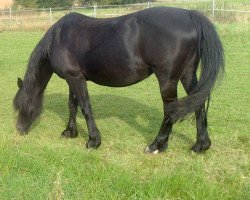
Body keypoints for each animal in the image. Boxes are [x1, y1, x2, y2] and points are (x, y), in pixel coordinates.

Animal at [13, 6, 225, 153]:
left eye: (23, 103)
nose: (19, 130)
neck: (59, 38)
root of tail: (189, 15)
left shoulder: (75, 78)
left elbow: (85, 107)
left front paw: (93, 141)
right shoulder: (72, 78)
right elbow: (72, 105)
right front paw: (70, 132)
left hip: (167, 79)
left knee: (170, 109)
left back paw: (157, 145)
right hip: (187, 74)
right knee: (198, 103)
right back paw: (200, 145)